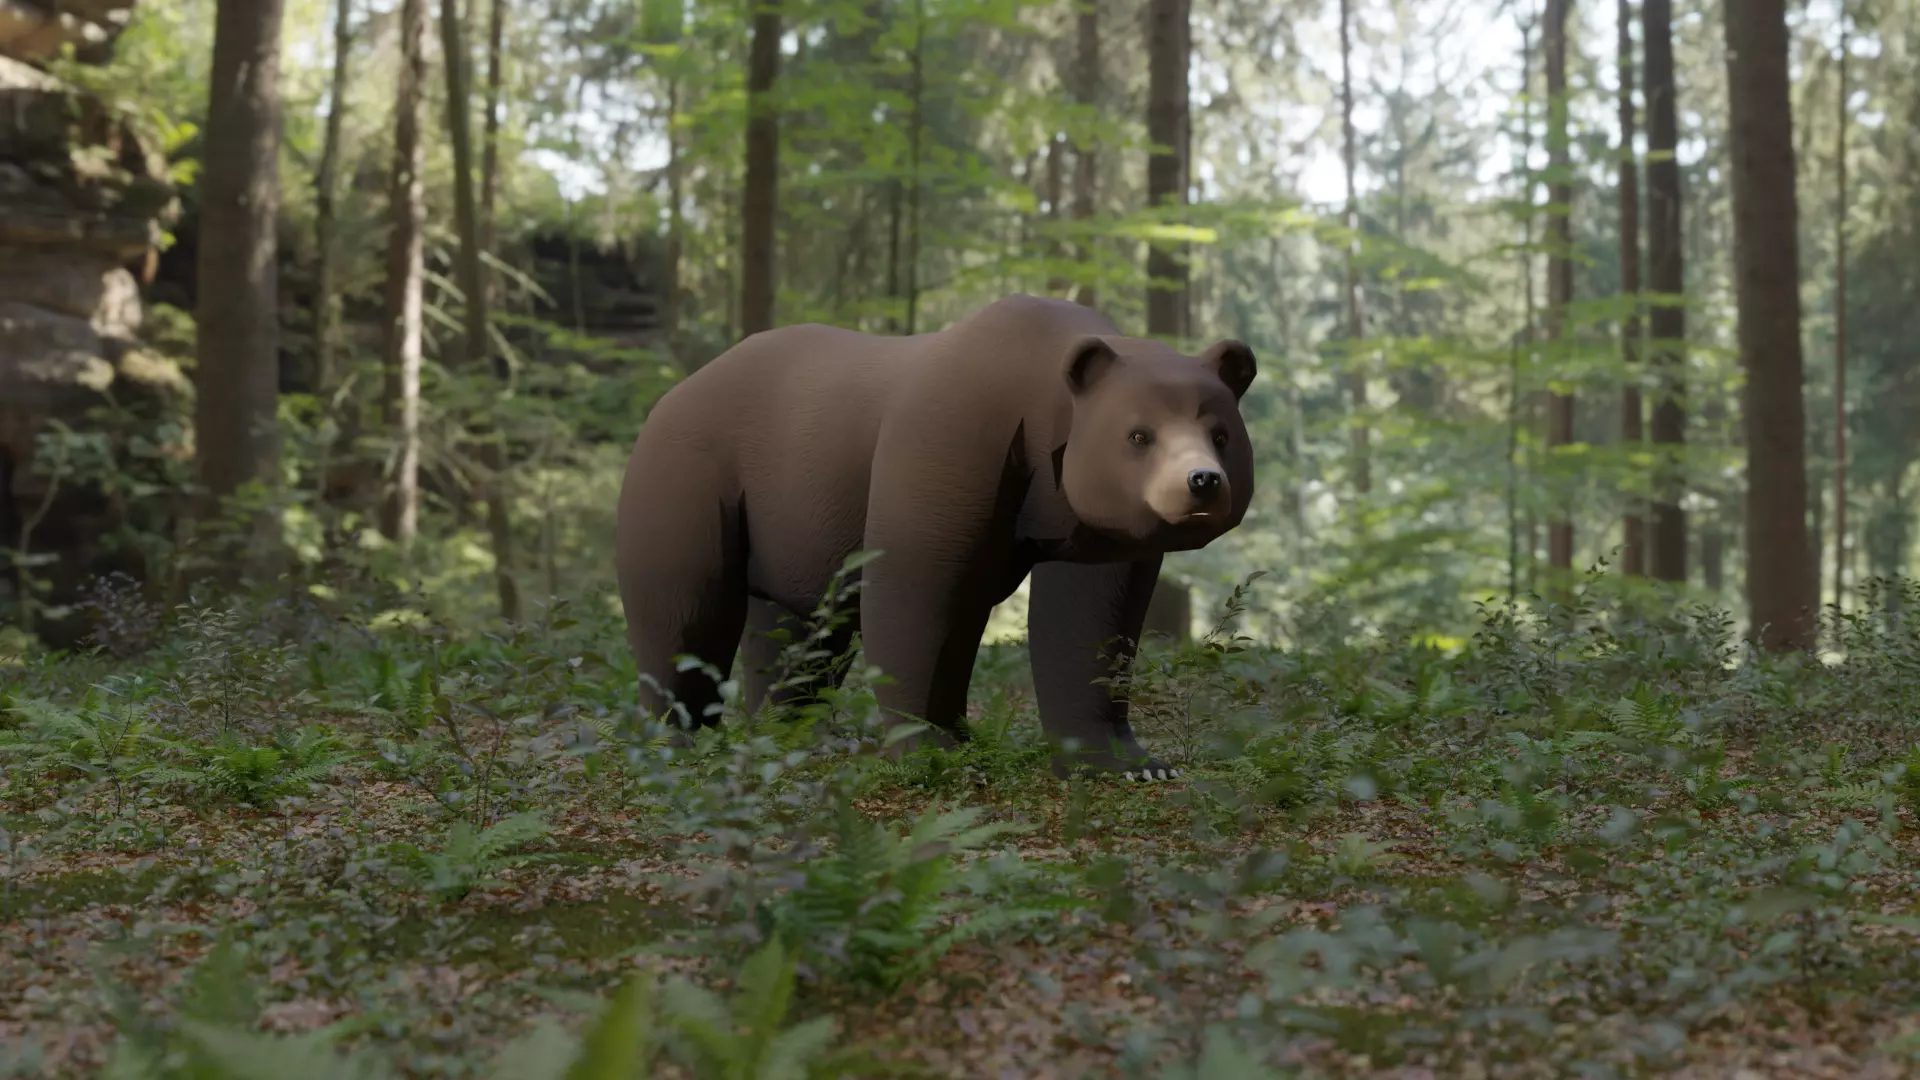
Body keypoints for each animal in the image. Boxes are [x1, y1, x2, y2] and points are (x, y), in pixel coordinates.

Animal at [614, 293, 1256, 780]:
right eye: (1139, 435)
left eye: (1221, 434)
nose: (1201, 482)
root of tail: (673, 392)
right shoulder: (953, 443)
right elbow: (919, 593)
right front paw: (940, 748)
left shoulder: (1089, 520)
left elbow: (1089, 618)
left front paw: (1133, 763)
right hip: (695, 479)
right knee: (686, 609)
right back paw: (678, 740)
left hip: (789, 521)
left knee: (798, 625)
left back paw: (807, 735)